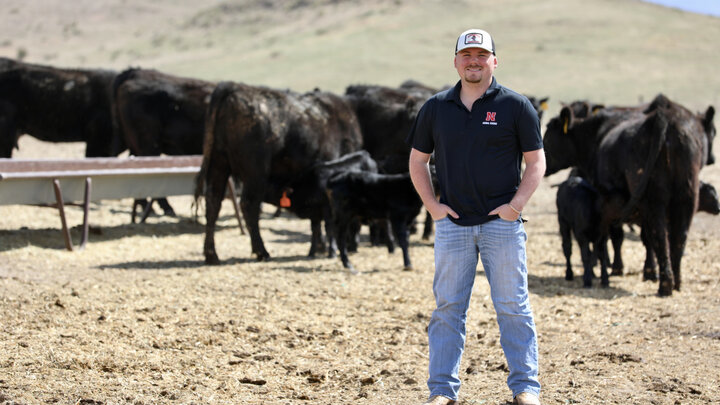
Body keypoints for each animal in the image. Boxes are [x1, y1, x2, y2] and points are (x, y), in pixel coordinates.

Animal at [195, 83, 362, 262]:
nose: (354, 246)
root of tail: (233, 86)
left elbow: (316, 220)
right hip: (255, 172)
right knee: (249, 204)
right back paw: (261, 251)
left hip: (218, 163)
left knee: (213, 202)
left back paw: (211, 254)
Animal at [544, 94, 716, 294]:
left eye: (547, 137)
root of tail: (663, 120)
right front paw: (648, 271)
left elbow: (616, 237)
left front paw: (617, 267)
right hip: (687, 194)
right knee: (678, 236)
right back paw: (675, 281)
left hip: (654, 198)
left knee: (658, 234)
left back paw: (664, 285)